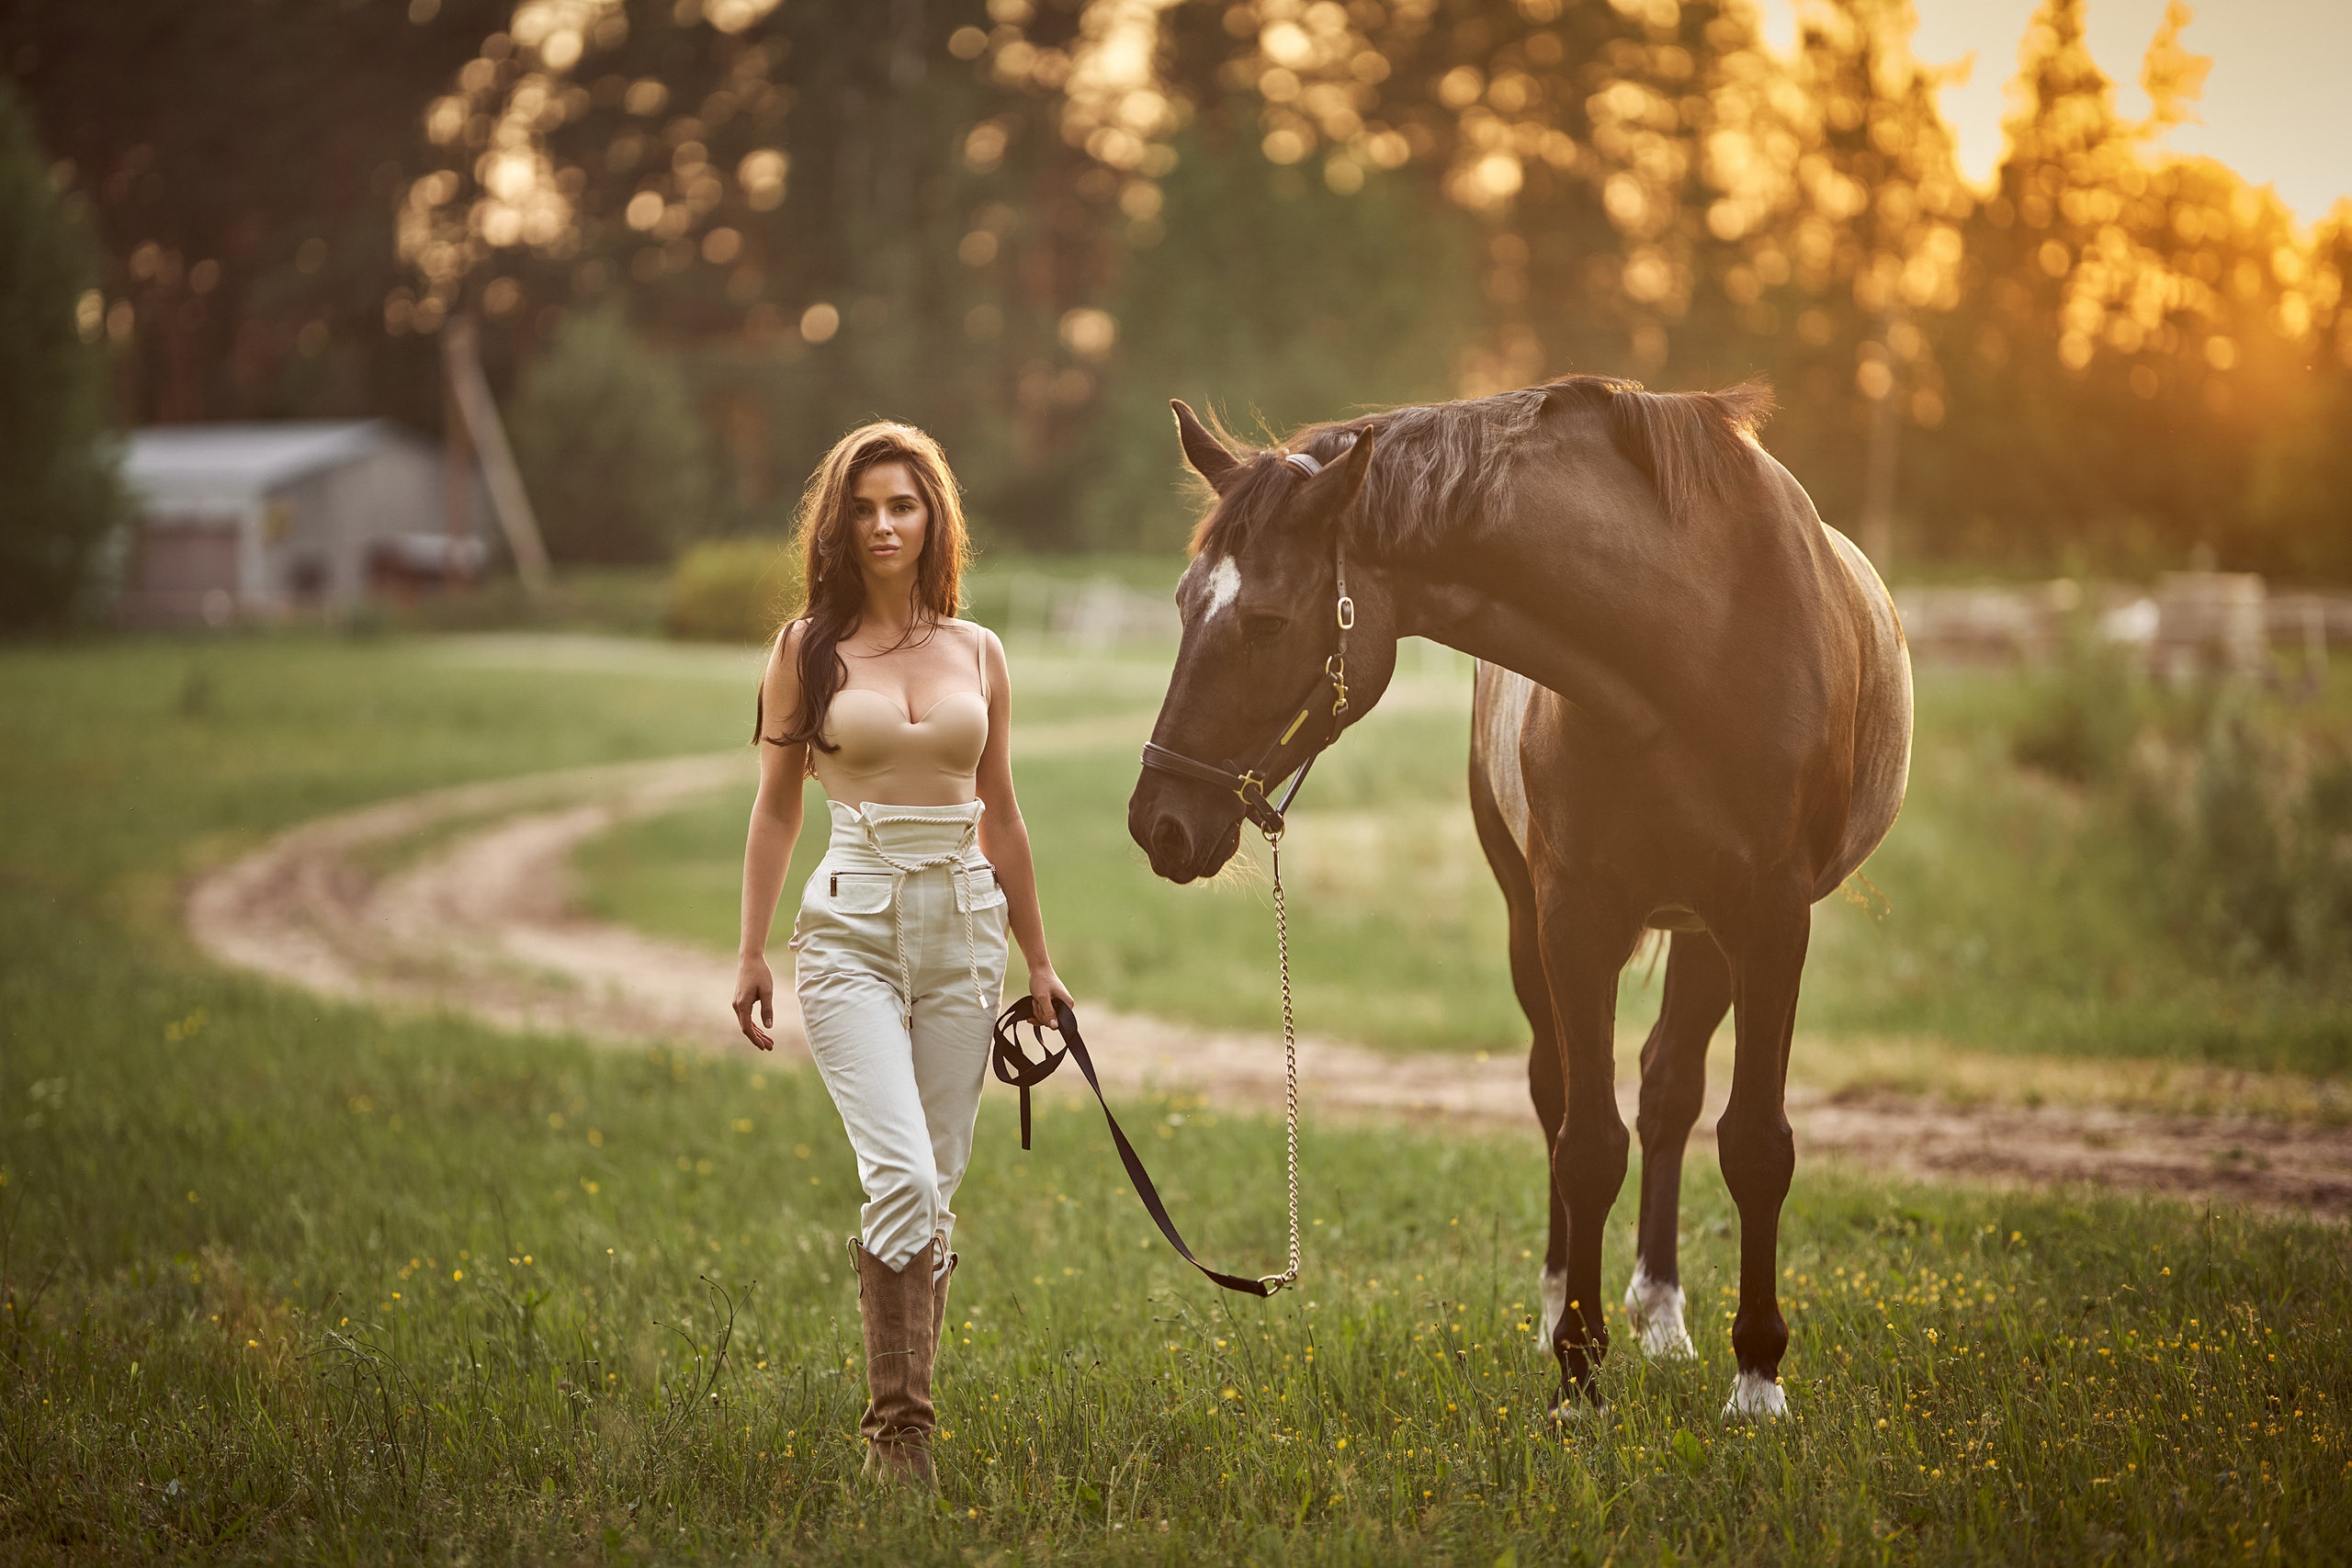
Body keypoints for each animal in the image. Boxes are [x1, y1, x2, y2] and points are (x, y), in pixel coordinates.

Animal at [1126, 375, 1912, 1419]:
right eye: (1182, 605)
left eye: (1264, 623)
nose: (1159, 822)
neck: (1694, 639)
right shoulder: (1572, 917)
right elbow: (1585, 1143)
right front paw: (1577, 1374)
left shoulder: (1773, 922)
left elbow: (1754, 1144)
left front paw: (1757, 1379)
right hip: (1534, 921)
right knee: (1565, 1093)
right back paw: (1567, 1311)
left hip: (1708, 934)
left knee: (1668, 1089)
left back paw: (1664, 1314)